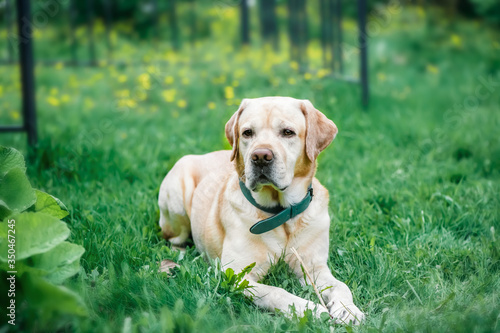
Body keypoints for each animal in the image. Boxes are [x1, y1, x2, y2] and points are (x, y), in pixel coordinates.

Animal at [159, 95, 364, 322]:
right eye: (247, 132)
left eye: (288, 132)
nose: (260, 156)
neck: (280, 213)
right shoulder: (236, 274)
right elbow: (276, 292)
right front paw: (309, 309)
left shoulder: (314, 267)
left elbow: (341, 286)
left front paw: (348, 310)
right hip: (176, 196)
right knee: (173, 239)